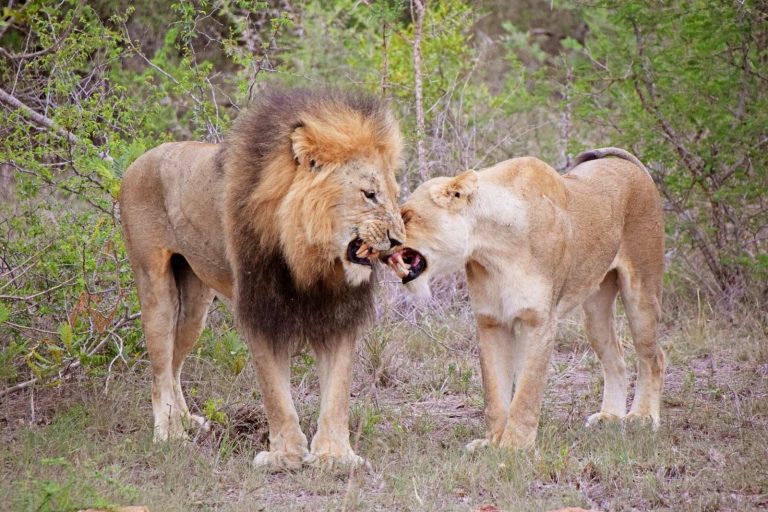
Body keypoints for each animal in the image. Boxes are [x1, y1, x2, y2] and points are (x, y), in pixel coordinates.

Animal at [119, 88, 405, 470]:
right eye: (369, 194)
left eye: (394, 193)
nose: (399, 240)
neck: (311, 258)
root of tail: (137, 161)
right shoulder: (261, 311)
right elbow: (275, 393)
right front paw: (285, 455)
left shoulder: (338, 314)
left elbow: (338, 392)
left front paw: (335, 456)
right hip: (155, 287)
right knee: (159, 368)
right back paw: (170, 434)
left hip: (195, 303)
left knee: (175, 363)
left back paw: (186, 421)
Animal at [386, 148, 665, 450]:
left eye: (407, 216)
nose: (378, 244)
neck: (491, 249)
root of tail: (632, 165)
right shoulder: (490, 322)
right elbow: (495, 393)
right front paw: (491, 443)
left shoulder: (539, 322)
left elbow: (526, 392)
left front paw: (514, 446)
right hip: (595, 309)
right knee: (616, 356)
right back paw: (610, 417)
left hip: (642, 292)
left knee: (653, 357)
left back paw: (641, 417)